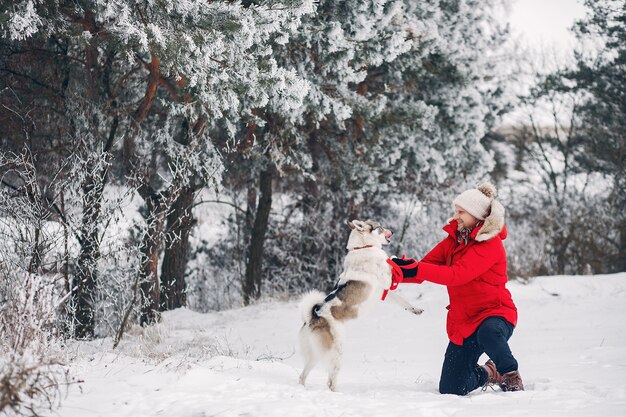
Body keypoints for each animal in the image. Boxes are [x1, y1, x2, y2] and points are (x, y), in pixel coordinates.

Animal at [298, 219, 424, 392]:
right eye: (380, 227)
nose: (392, 231)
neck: (364, 247)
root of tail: (313, 317)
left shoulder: (384, 291)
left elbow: (402, 301)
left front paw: (415, 310)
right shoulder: (387, 279)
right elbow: (393, 264)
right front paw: (399, 259)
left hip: (315, 355)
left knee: (302, 376)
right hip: (336, 352)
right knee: (330, 381)